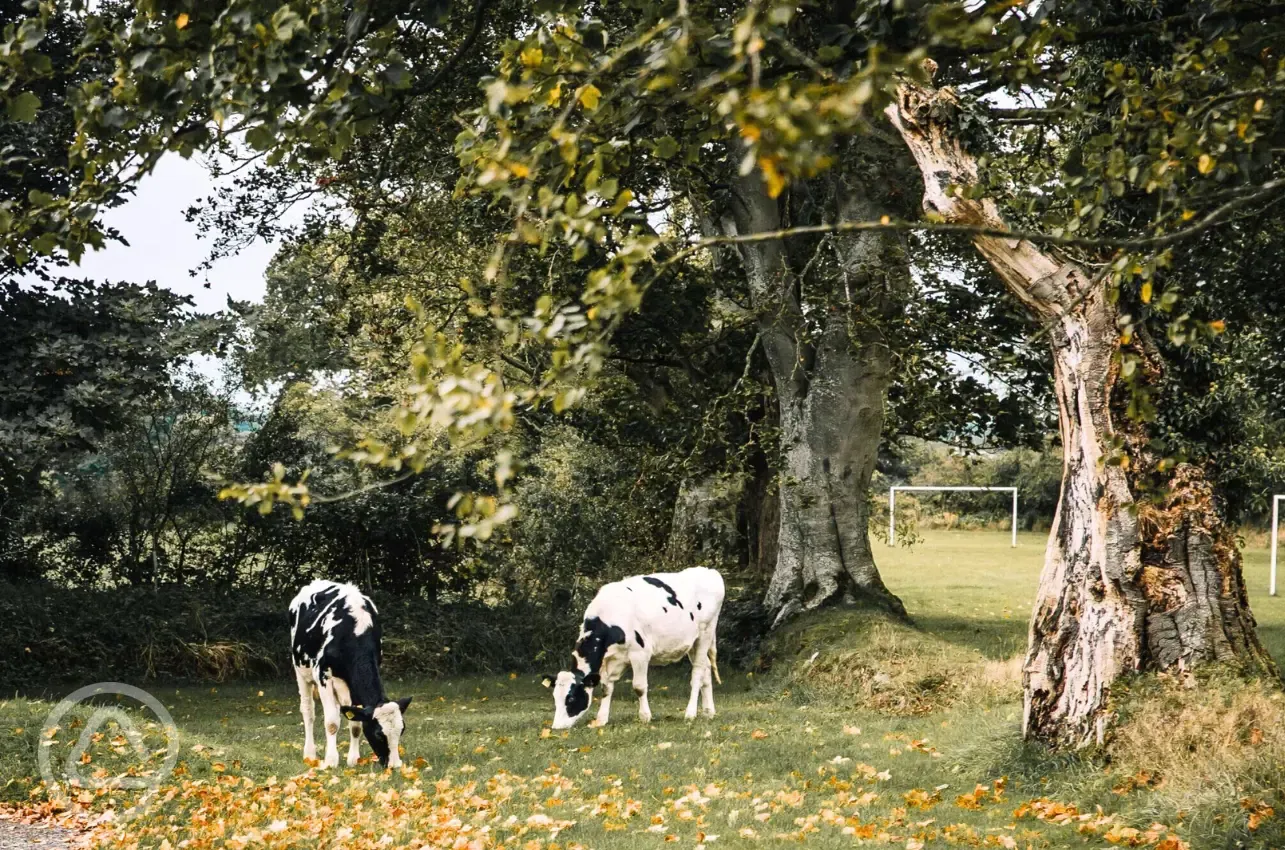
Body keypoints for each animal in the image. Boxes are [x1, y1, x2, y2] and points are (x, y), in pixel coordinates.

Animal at [289, 580, 411, 769]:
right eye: (378, 734)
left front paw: (354, 759)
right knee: (308, 712)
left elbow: (355, 724)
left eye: (402, 730)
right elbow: (332, 722)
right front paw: (331, 761)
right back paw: (309, 754)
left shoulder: (353, 685)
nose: (395, 765)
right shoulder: (323, 676)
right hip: (301, 671)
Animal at [543, 567, 724, 730]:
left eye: (571, 698)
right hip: (692, 643)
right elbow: (606, 688)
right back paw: (709, 712)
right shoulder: (610, 659)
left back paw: (690, 713)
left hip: (705, 633)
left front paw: (645, 717)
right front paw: (601, 719)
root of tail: (709, 571)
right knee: (707, 668)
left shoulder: (640, 654)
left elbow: (639, 687)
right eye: (554, 697)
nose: (556, 727)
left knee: (698, 672)